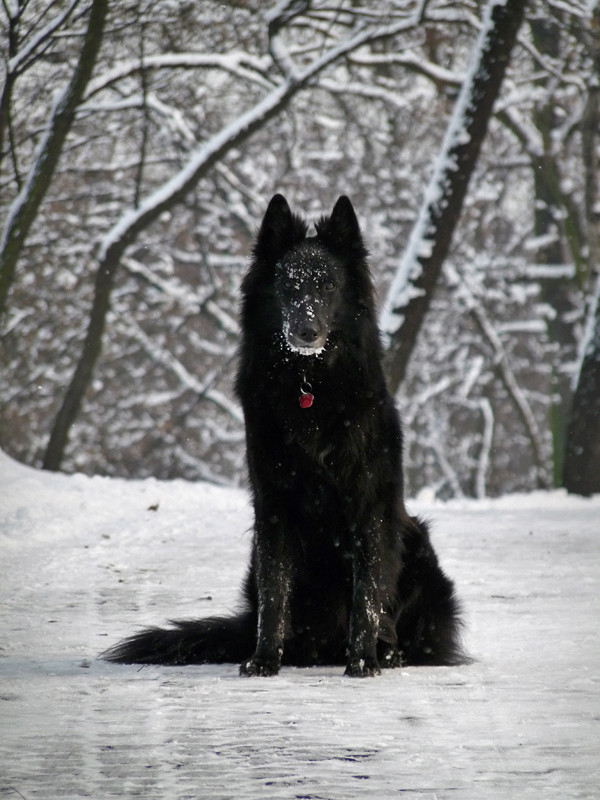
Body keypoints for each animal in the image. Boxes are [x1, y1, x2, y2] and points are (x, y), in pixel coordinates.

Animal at [104, 194, 468, 676]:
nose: (306, 331)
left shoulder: (369, 504)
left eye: (327, 286)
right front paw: (263, 659)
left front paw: (363, 660)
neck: (308, 382)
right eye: (289, 288)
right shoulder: (273, 507)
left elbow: (368, 593)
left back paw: (387, 652)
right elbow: (275, 591)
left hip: (417, 541)